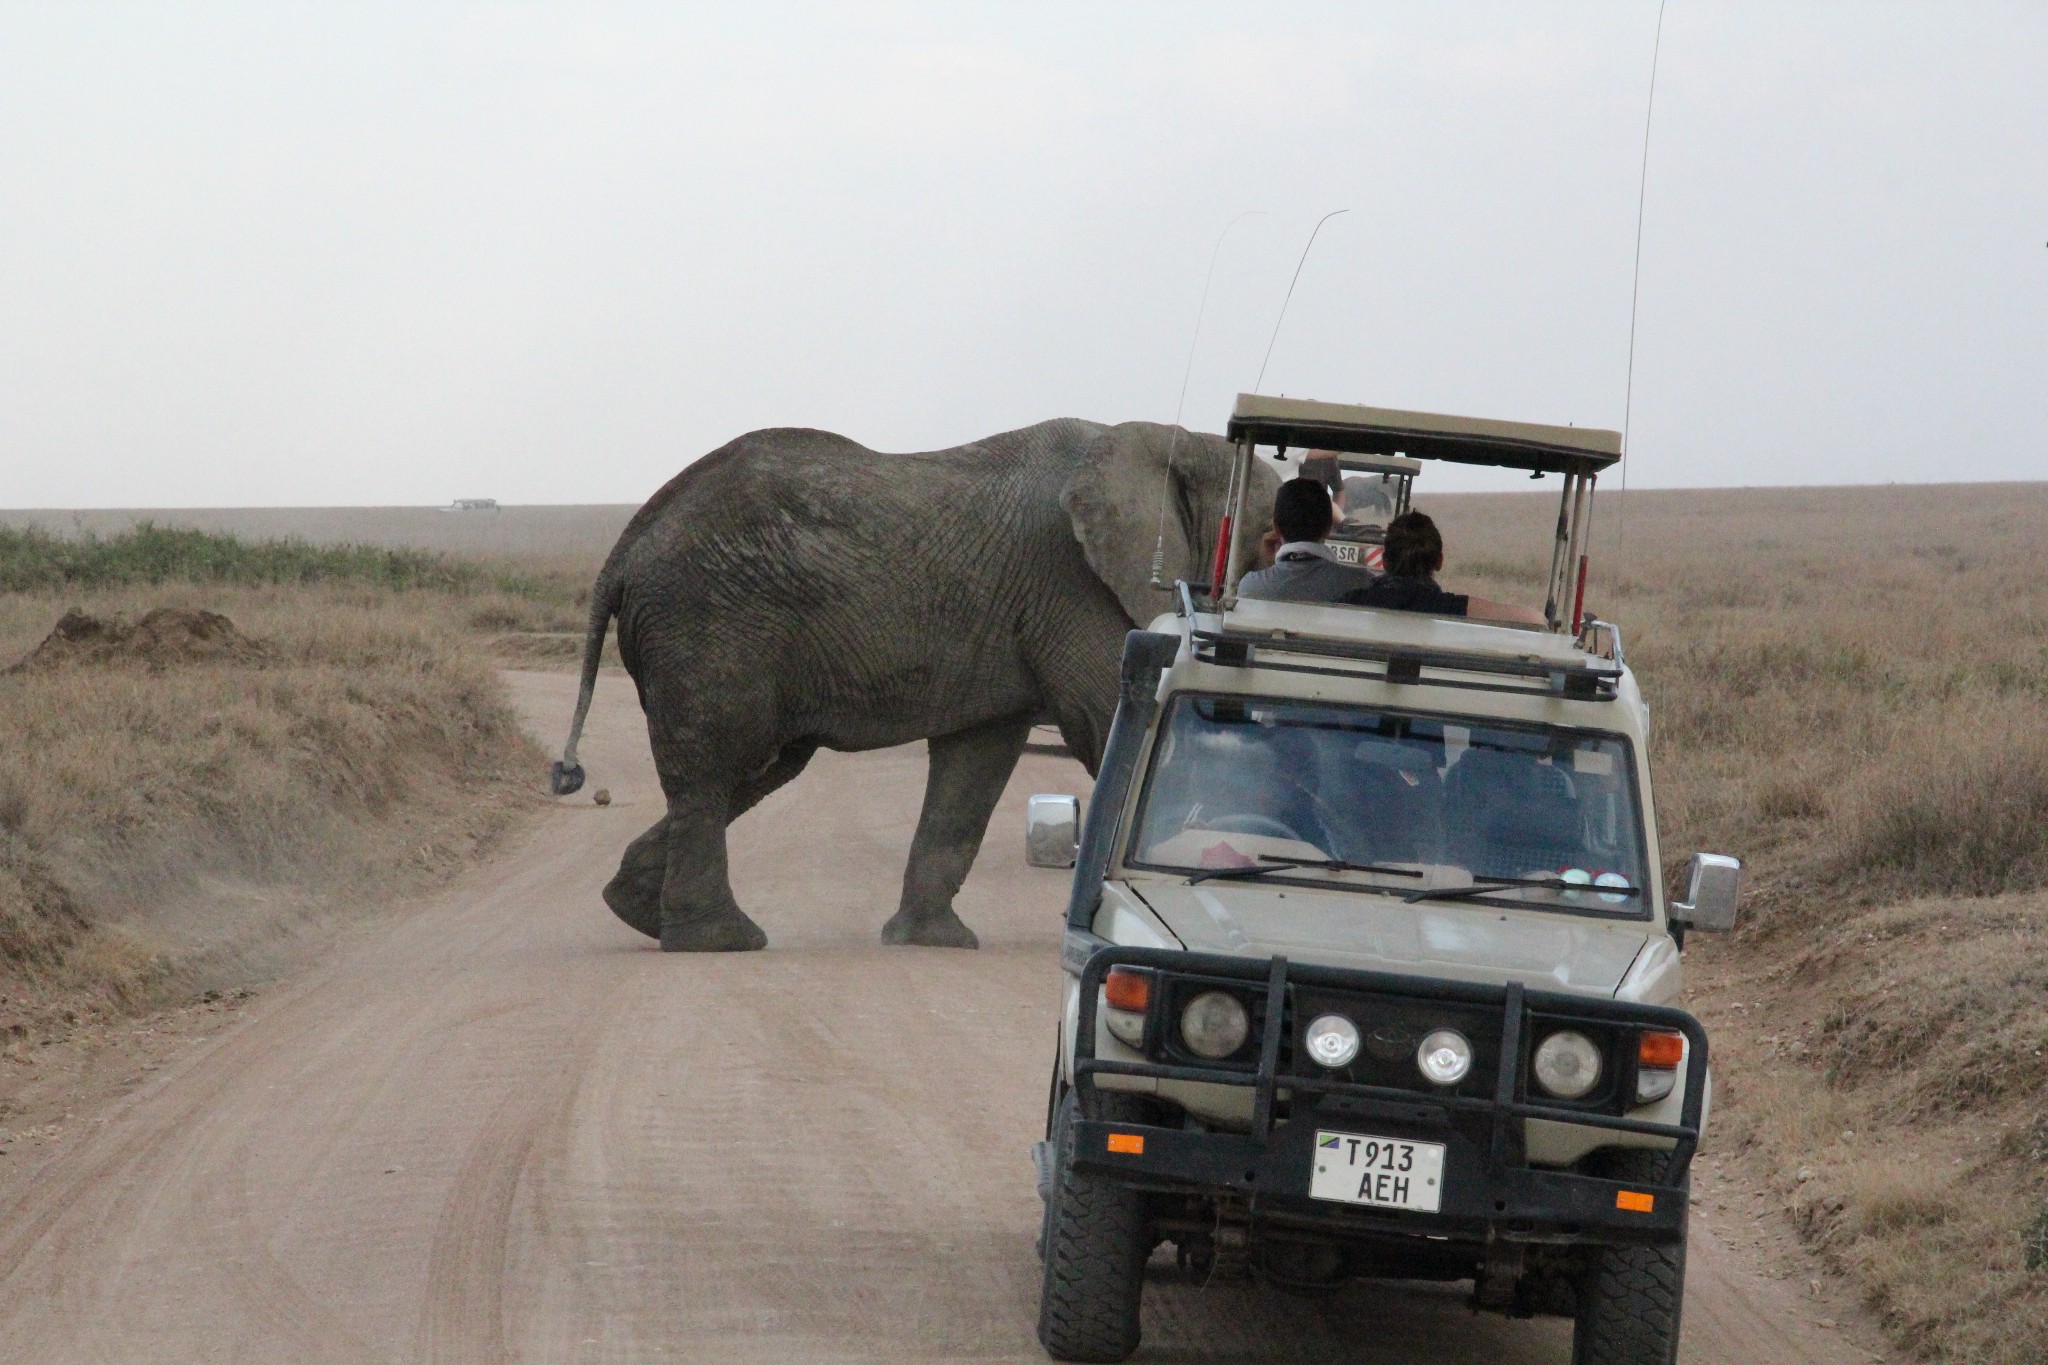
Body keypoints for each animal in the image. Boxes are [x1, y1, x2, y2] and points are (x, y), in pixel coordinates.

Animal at [552, 417, 1269, 949]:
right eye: (1269, 541)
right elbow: (1107, 720)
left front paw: (930, 940)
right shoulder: (1074, 587)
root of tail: (625, 547)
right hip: (707, 624)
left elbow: (974, 765)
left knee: (751, 766)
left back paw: (634, 910)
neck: (1168, 439)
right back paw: (720, 940)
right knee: (718, 765)